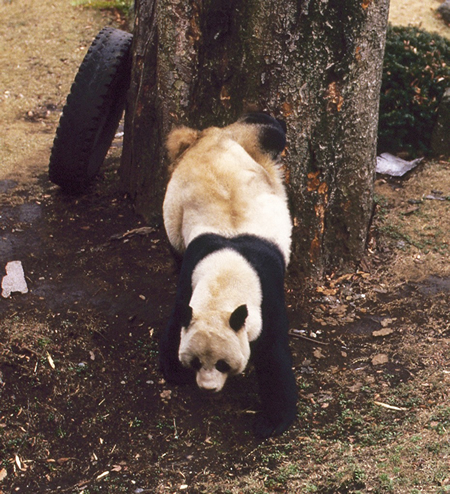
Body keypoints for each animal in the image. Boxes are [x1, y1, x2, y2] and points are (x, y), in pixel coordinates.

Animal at [160, 114, 298, 438]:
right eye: (196, 361)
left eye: (223, 364)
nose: (207, 388)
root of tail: (209, 136)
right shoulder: (192, 271)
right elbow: (176, 319)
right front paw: (173, 368)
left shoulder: (267, 291)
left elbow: (273, 354)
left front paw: (271, 422)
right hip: (175, 215)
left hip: (251, 142)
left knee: (269, 129)